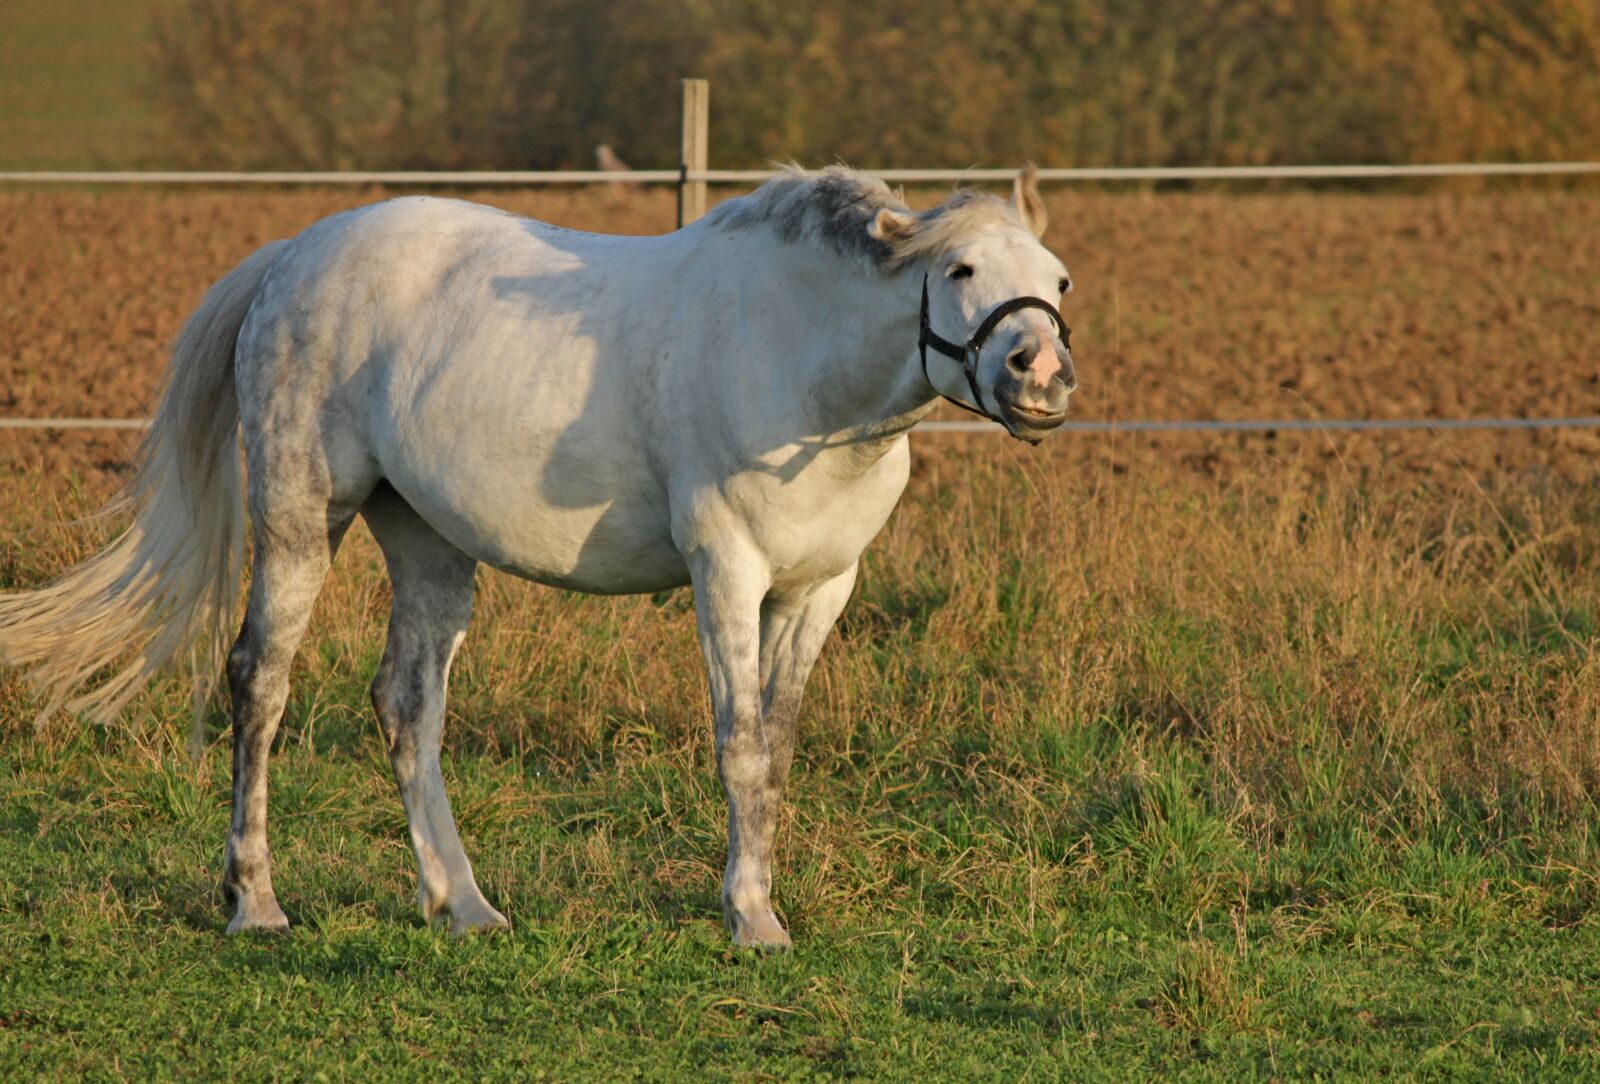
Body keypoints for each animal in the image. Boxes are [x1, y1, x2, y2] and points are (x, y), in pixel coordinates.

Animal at [0, 164, 1076, 948]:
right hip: (304, 520)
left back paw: (464, 906)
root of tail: (291, 256)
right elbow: (738, 745)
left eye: (1058, 279)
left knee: (406, 704)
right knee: (259, 683)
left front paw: (760, 905)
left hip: (428, 543)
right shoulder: (726, 573)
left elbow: (775, 750)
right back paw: (255, 902)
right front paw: (749, 921)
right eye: (962, 271)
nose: (1043, 374)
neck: (798, 357)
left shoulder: (819, 590)